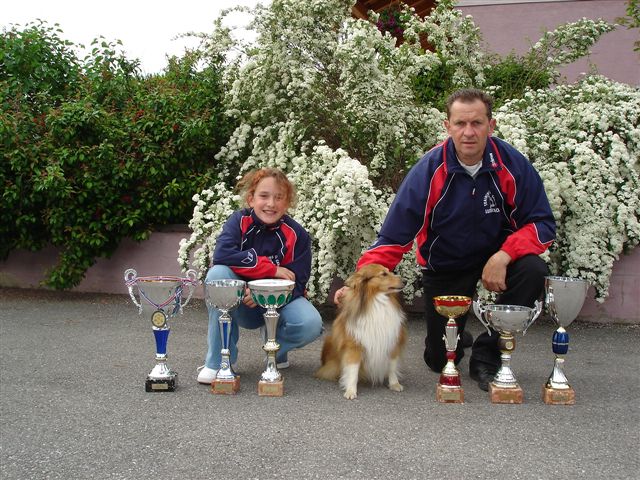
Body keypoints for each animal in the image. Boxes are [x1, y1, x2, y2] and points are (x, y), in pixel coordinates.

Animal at [314, 264, 404, 400]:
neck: (377, 301)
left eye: (389, 271)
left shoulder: (392, 341)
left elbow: (392, 366)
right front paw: (351, 391)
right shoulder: (354, 346)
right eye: (383, 274)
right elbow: (353, 370)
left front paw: (394, 384)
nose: (404, 282)